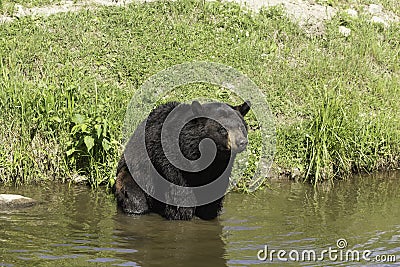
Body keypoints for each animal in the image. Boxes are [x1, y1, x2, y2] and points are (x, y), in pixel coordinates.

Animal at [112, 99, 250, 221]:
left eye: (241, 127)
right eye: (222, 129)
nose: (242, 142)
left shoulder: (219, 168)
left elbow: (213, 193)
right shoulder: (172, 160)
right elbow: (179, 193)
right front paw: (182, 213)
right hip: (133, 175)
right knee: (135, 196)